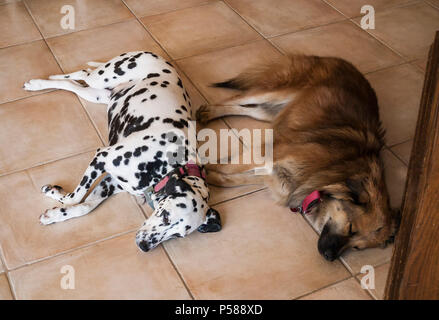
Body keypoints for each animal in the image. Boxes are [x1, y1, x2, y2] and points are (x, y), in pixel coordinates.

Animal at [198, 54, 400, 260]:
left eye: (357, 247)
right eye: (352, 229)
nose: (329, 257)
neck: (333, 172)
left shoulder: (281, 179)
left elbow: (233, 178)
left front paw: (211, 176)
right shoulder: (267, 153)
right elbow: (229, 166)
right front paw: (199, 168)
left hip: (273, 112)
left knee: (249, 109)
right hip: (277, 92)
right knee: (237, 98)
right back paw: (209, 111)